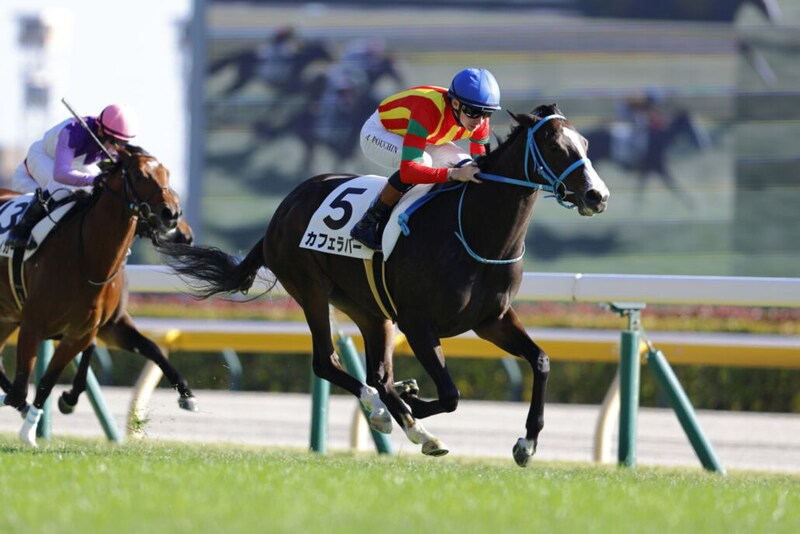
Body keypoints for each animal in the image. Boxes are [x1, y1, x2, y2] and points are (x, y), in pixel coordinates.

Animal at [0, 146, 183, 446]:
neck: (89, 257)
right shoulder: (33, 325)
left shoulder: (84, 332)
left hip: (6, 317)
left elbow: (46, 382)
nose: (172, 213)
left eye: (166, 172)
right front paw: (30, 424)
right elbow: (22, 386)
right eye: (138, 174)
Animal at [158, 104, 609, 466]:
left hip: (371, 311)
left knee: (376, 374)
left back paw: (398, 408)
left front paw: (526, 444)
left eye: (585, 143)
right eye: (555, 147)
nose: (597, 195)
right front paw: (414, 407)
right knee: (329, 363)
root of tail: (283, 208)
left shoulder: (491, 320)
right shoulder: (418, 323)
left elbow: (541, 361)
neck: (476, 231)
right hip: (311, 289)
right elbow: (450, 394)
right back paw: (392, 417)